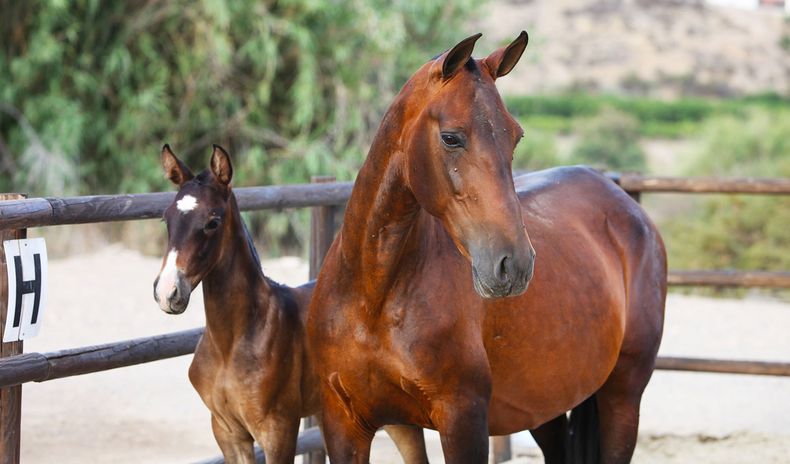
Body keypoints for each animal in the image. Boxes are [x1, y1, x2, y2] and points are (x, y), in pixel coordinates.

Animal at [152, 145, 430, 464]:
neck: (232, 343)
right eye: (166, 218)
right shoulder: (227, 431)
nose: (167, 291)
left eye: (213, 222)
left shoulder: (278, 428)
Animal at [308, 30, 668, 462]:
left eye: (516, 136)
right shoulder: (349, 425)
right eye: (451, 137)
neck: (373, 297)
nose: (514, 264)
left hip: (622, 397)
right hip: (543, 406)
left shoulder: (463, 420)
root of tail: (626, 204)